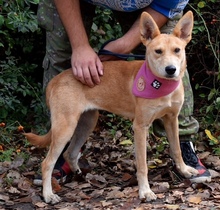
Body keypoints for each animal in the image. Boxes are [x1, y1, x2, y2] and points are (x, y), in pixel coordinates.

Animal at [24, 11, 198, 203]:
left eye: (177, 50)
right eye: (158, 51)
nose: (171, 69)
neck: (162, 86)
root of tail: (56, 80)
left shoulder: (172, 120)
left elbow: (177, 149)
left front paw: (184, 170)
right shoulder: (140, 126)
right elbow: (142, 164)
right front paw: (145, 191)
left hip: (87, 123)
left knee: (70, 152)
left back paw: (79, 174)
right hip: (65, 127)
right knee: (47, 163)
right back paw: (48, 194)